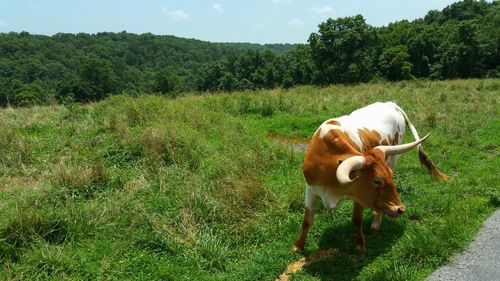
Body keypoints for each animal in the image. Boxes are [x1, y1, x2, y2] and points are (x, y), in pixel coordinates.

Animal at [292, 101, 448, 252]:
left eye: (390, 176)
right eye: (376, 180)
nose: (400, 209)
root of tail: (391, 104)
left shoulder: (359, 195)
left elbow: (357, 219)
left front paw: (360, 244)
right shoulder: (311, 189)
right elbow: (307, 220)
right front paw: (298, 246)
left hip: (393, 159)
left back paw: (376, 222)